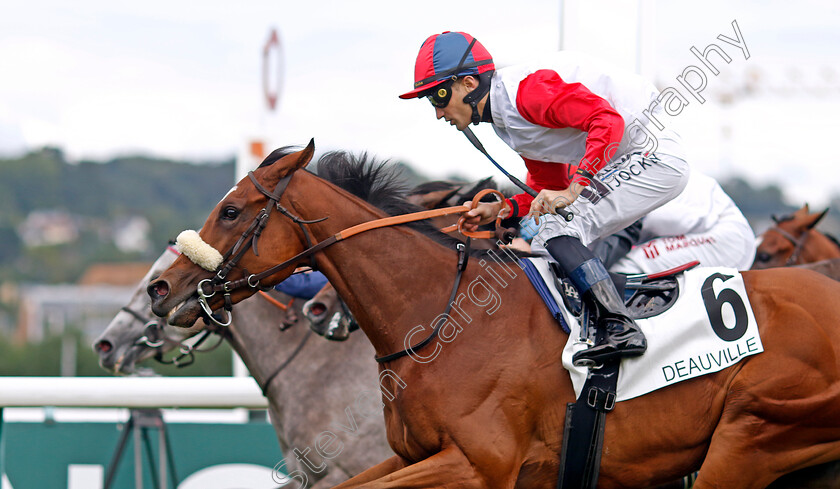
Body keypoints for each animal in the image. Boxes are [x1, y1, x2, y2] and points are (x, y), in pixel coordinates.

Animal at [148, 139, 840, 486]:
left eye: (231, 210)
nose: (161, 288)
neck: (441, 319)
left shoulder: (479, 465)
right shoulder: (413, 456)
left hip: (750, 438)